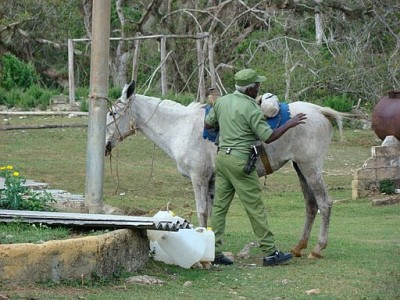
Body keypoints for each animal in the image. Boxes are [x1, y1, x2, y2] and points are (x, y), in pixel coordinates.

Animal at [105, 81, 350, 258]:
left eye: (112, 114)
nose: (105, 144)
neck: (181, 127)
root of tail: (320, 111)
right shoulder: (212, 181)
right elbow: (214, 213)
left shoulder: (199, 177)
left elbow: (202, 212)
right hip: (300, 168)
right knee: (311, 205)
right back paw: (300, 246)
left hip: (311, 168)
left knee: (324, 204)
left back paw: (317, 249)